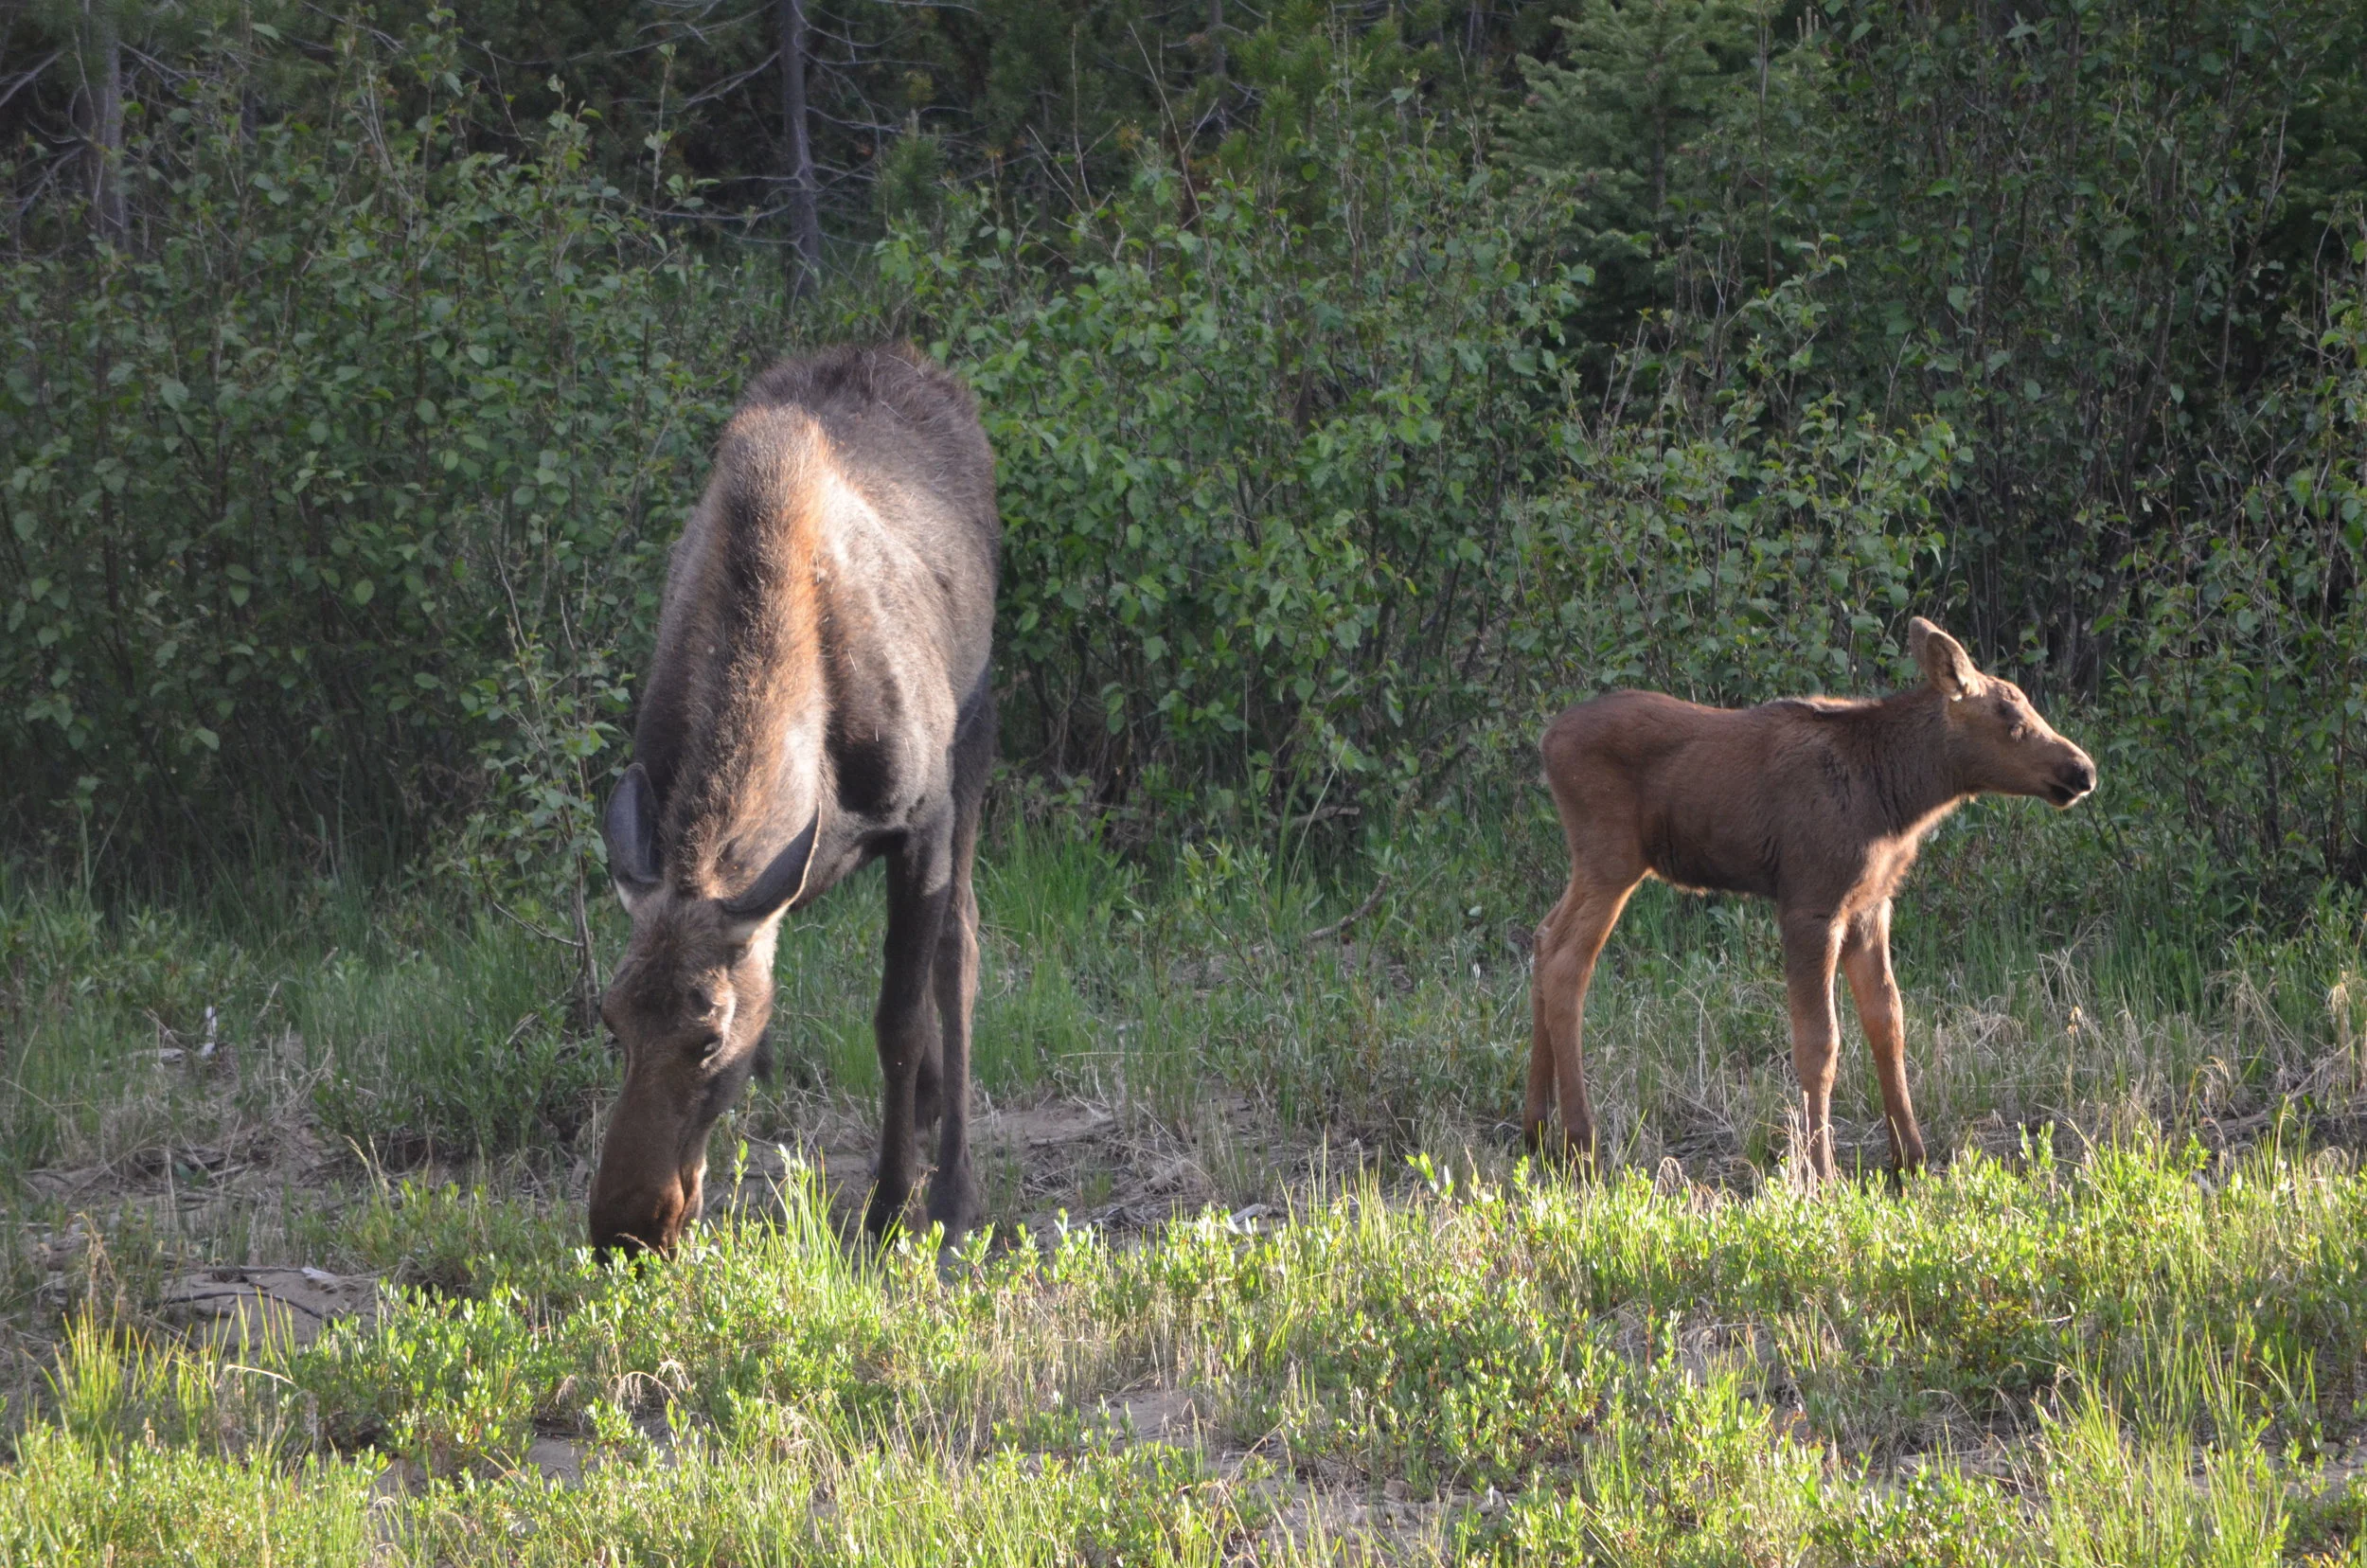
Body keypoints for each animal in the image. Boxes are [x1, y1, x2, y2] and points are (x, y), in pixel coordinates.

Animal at [590, 343, 999, 1256]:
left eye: (709, 1034)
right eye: (610, 1020)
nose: (623, 1230)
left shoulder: (924, 819)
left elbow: (897, 1017)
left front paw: (894, 1205)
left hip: (975, 743)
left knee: (958, 952)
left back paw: (953, 1185)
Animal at [1526, 618, 2097, 1182]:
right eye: (2012, 721)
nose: (2083, 771)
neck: (1899, 797)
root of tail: (1546, 741)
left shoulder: (1871, 904)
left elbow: (1888, 1022)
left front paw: (1911, 1159)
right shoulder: (1811, 903)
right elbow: (1820, 1042)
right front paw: (1821, 1174)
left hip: (1596, 864)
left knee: (1542, 935)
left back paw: (1537, 1130)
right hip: (1612, 857)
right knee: (1567, 962)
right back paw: (1580, 1143)